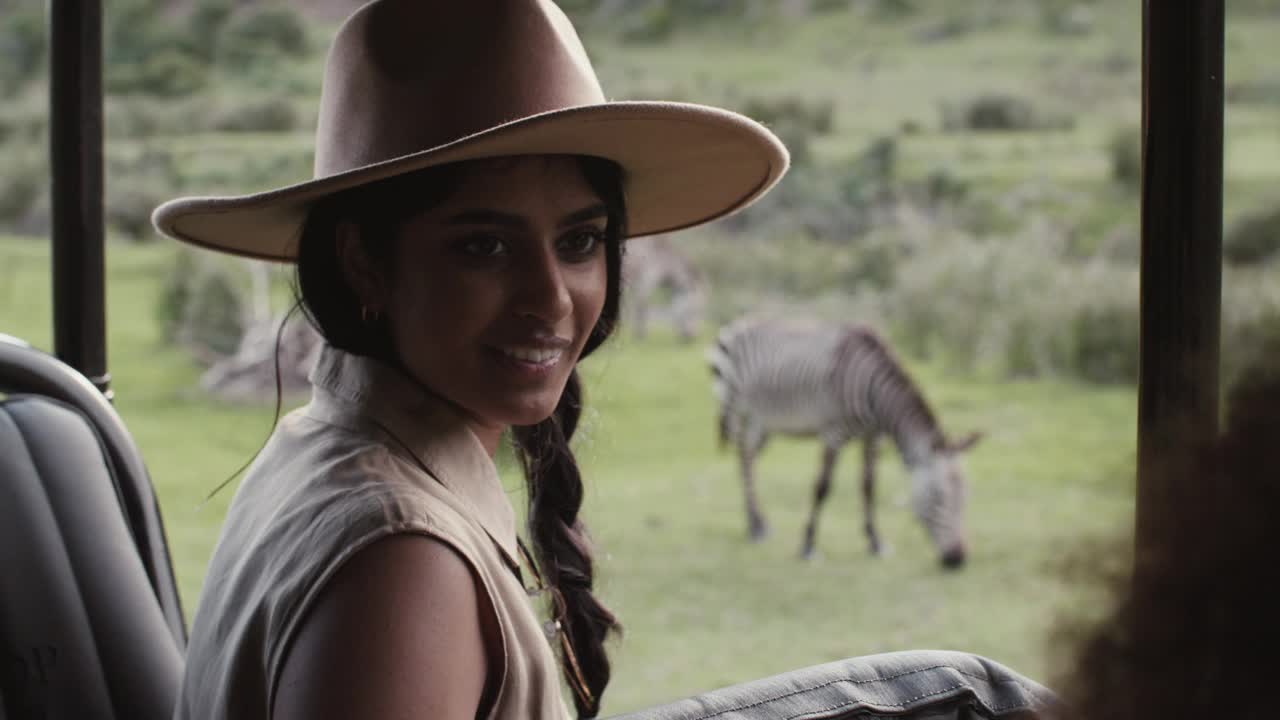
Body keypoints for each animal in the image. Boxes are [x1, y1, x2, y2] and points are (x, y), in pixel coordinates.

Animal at [711, 316, 977, 568]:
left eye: (965, 498)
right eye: (938, 497)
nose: (957, 559)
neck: (872, 391)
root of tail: (736, 324)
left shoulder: (872, 437)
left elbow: (869, 487)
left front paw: (875, 542)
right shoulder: (834, 433)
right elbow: (822, 487)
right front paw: (808, 546)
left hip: (762, 421)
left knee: (748, 460)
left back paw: (758, 522)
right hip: (737, 410)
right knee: (744, 460)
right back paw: (754, 527)